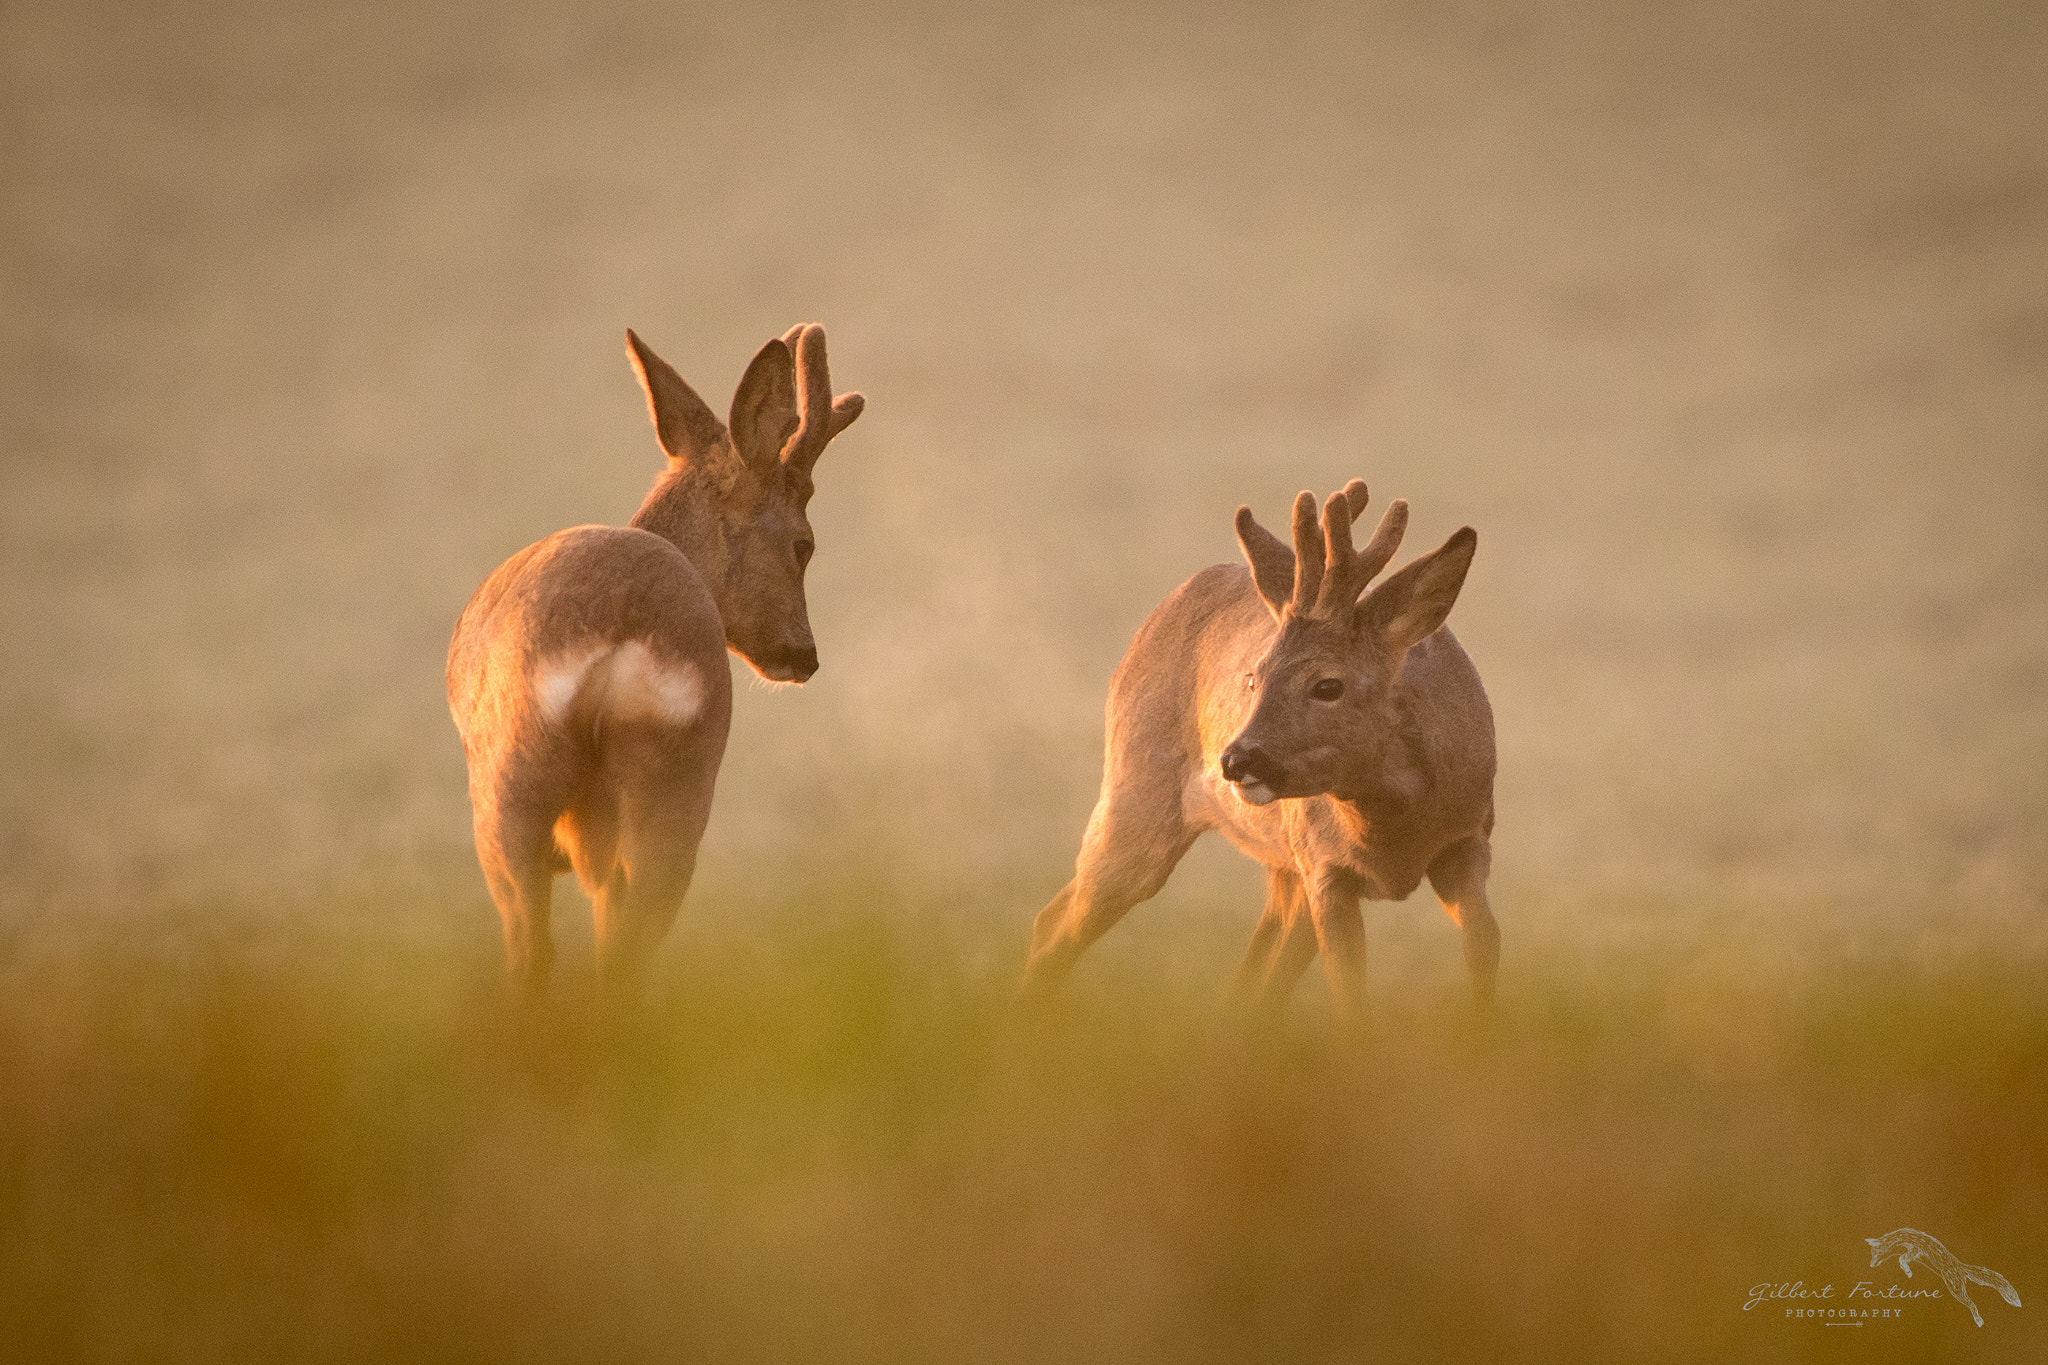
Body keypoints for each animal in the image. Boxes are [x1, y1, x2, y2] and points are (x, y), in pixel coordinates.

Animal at [448, 331, 864, 994]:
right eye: (805, 543)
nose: (803, 653)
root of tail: (623, 624)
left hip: (512, 779)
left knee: (535, 947)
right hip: (674, 783)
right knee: (625, 946)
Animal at [1032, 485, 1499, 1019]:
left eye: (1327, 684)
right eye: (1253, 678)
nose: (1236, 759)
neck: (1391, 830)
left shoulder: (1468, 839)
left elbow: (1484, 947)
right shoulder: (1323, 866)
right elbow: (1350, 992)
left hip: (1280, 867)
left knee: (1250, 983)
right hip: (1135, 794)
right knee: (1053, 925)